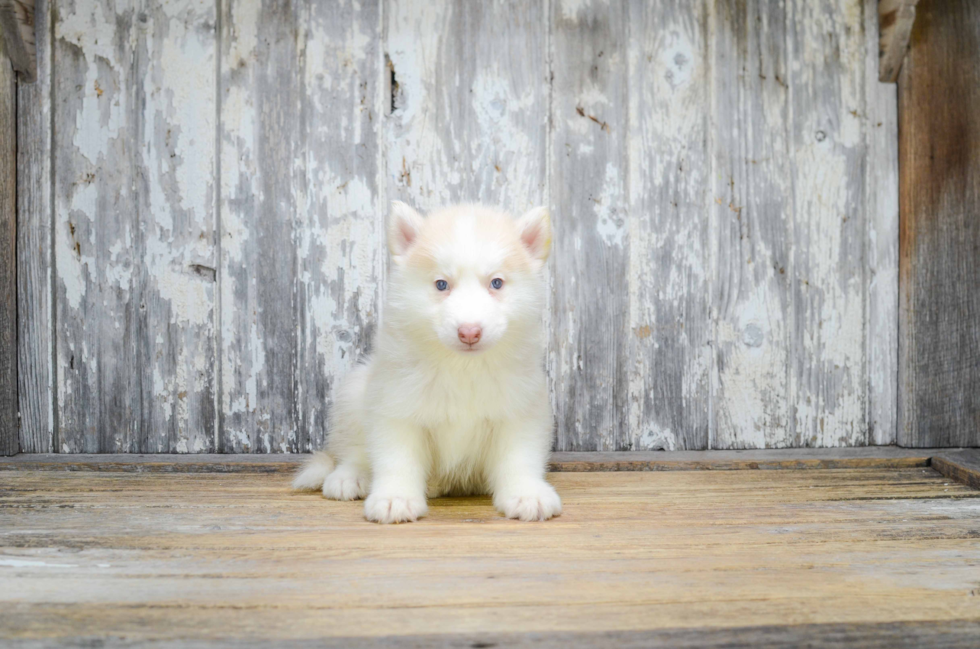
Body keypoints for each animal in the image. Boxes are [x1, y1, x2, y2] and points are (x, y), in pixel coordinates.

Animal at [290, 200, 564, 524]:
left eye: (496, 283)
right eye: (441, 284)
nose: (469, 332)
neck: (462, 367)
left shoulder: (520, 409)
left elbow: (519, 458)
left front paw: (527, 493)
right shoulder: (397, 407)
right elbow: (396, 459)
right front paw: (395, 497)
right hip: (354, 393)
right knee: (353, 450)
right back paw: (348, 477)